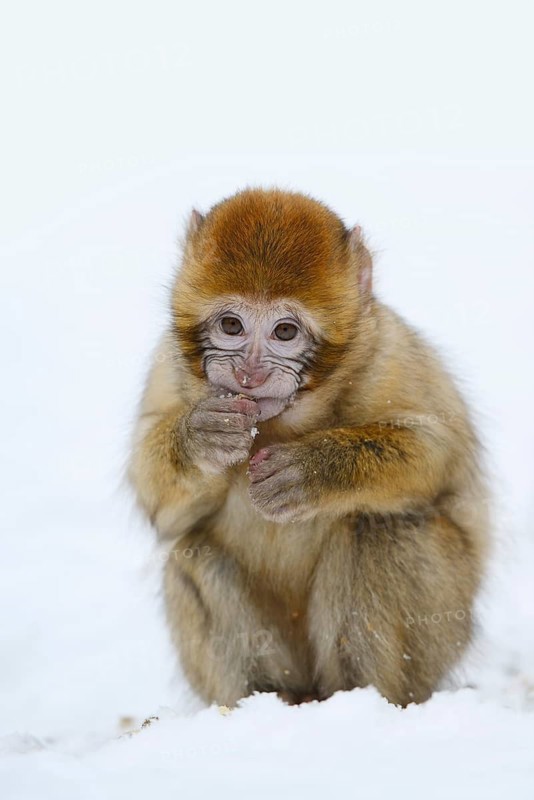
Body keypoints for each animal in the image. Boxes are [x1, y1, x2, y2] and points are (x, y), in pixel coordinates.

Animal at [128, 187, 490, 708]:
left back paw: (364, 699)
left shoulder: (389, 352)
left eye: (285, 332)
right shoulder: (170, 365)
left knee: (381, 528)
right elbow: (162, 511)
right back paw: (262, 701)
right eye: (232, 325)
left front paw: (312, 469)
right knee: (192, 553)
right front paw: (202, 439)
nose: (249, 374)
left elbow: (435, 451)